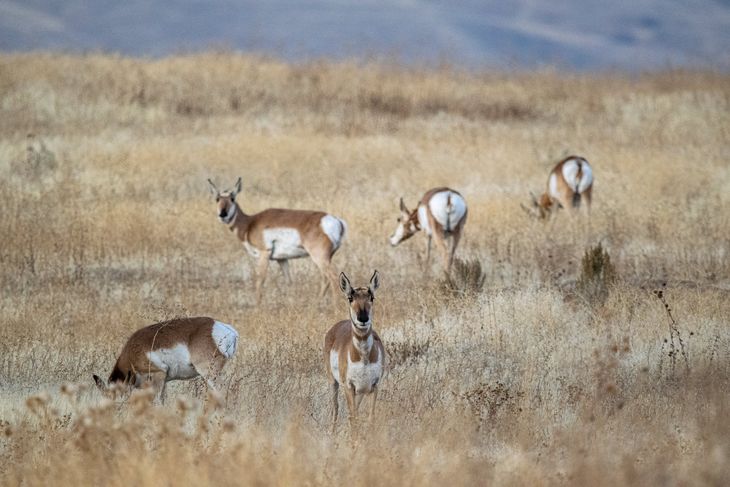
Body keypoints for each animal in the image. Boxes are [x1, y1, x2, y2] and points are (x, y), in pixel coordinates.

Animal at [208, 177, 347, 304]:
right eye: (217, 199)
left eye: (232, 198)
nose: (223, 214)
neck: (250, 223)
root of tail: (336, 220)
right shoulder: (282, 259)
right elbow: (289, 281)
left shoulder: (264, 254)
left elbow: (260, 280)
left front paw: (257, 306)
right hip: (325, 258)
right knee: (325, 278)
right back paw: (316, 304)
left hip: (319, 257)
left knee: (333, 277)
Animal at [324, 271, 386, 432]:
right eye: (350, 298)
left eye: (372, 297)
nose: (362, 318)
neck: (363, 357)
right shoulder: (349, 387)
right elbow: (353, 419)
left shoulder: (373, 386)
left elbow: (370, 418)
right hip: (333, 382)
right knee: (335, 409)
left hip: (361, 392)